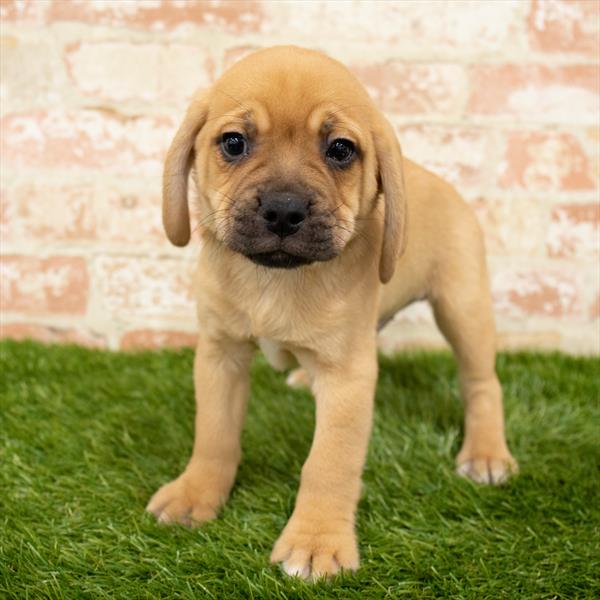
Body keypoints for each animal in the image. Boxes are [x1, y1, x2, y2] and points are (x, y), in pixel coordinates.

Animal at [148, 47, 516, 580]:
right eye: (234, 143)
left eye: (341, 150)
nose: (283, 210)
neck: (277, 281)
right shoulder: (221, 354)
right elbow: (213, 435)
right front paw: (195, 494)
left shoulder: (348, 379)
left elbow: (328, 463)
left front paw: (316, 541)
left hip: (463, 308)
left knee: (483, 384)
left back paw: (486, 452)